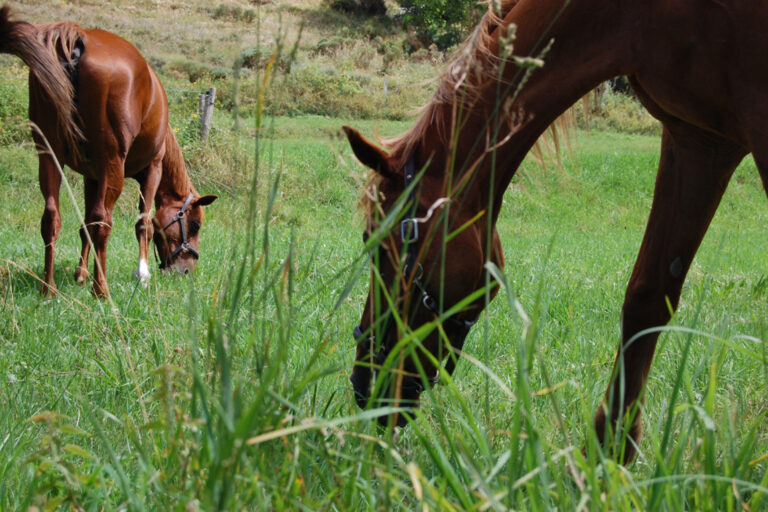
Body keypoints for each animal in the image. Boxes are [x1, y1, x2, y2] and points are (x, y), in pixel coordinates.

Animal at [0, 6, 217, 298]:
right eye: (194, 225)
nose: (185, 271)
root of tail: (78, 40)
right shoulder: (152, 169)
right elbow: (143, 223)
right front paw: (142, 275)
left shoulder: (91, 176)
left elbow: (86, 225)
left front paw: (81, 273)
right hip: (112, 163)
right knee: (104, 222)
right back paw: (100, 290)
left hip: (49, 155)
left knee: (52, 218)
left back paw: (49, 289)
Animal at [343, 0, 768, 463]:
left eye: (381, 246)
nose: (364, 383)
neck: (641, 16)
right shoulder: (699, 140)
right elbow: (648, 298)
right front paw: (605, 454)